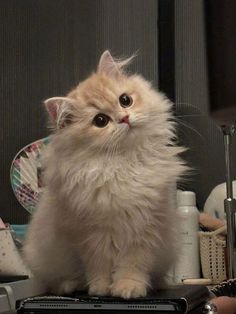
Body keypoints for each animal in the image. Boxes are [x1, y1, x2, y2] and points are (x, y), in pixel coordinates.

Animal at [23, 50, 186, 298]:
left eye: (125, 100)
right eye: (100, 121)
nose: (124, 118)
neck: (124, 164)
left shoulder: (145, 227)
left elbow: (133, 264)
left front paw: (128, 288)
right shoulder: (90, 235)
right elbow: (99, 266)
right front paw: (100, 289)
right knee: (53, 283)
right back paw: (72, 285)